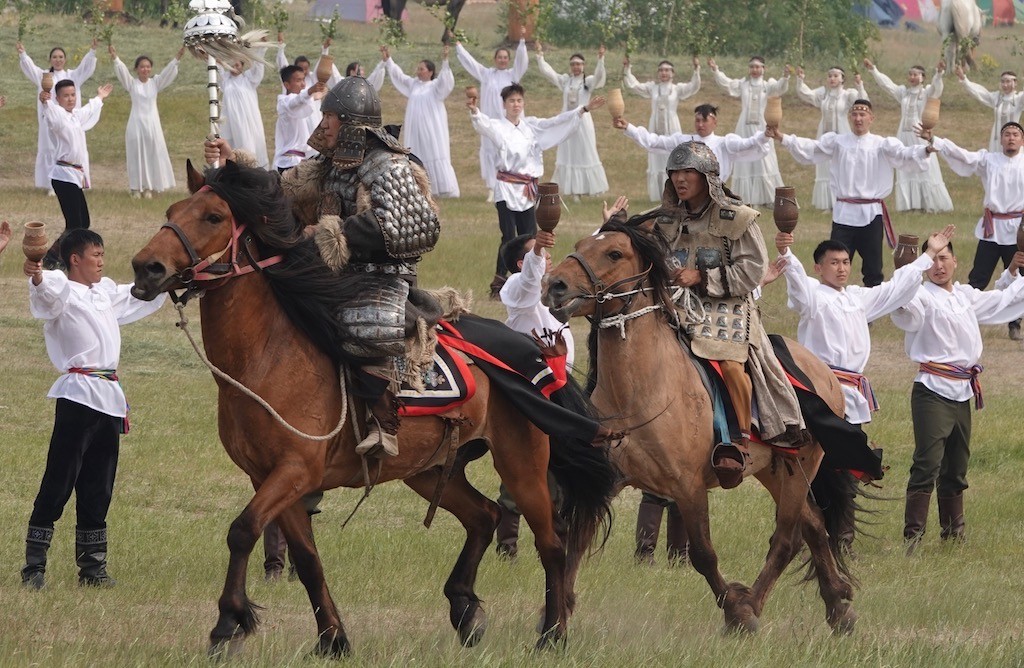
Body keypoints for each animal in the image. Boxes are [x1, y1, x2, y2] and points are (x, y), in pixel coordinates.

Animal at [123, 158, 610, 655]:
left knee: (552, 543)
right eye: (172, 211)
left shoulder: (295, 471)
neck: (263, 357)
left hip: (521, 462)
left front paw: (227, 624)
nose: (146, 268)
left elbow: (242, 530)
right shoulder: (272, 477)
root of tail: (535, 351)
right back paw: (465, 609)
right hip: (430, 469)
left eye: (213, 217)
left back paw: (552, 634)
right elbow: (307, 558)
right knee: (484, 516)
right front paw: (332, 639)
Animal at [548, 216, 860, 635]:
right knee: (812, 525)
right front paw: (556, 620)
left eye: (613, 253)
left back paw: (755, 604)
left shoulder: (688, 487)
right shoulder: (607, 479)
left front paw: (736, 610)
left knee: (788, 537)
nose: (554, 285)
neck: (639, 390)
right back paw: (838, 607)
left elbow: (703, 554)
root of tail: (825, 372)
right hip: (774, 469)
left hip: (799, 467)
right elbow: (576, 545)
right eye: (580, 244)